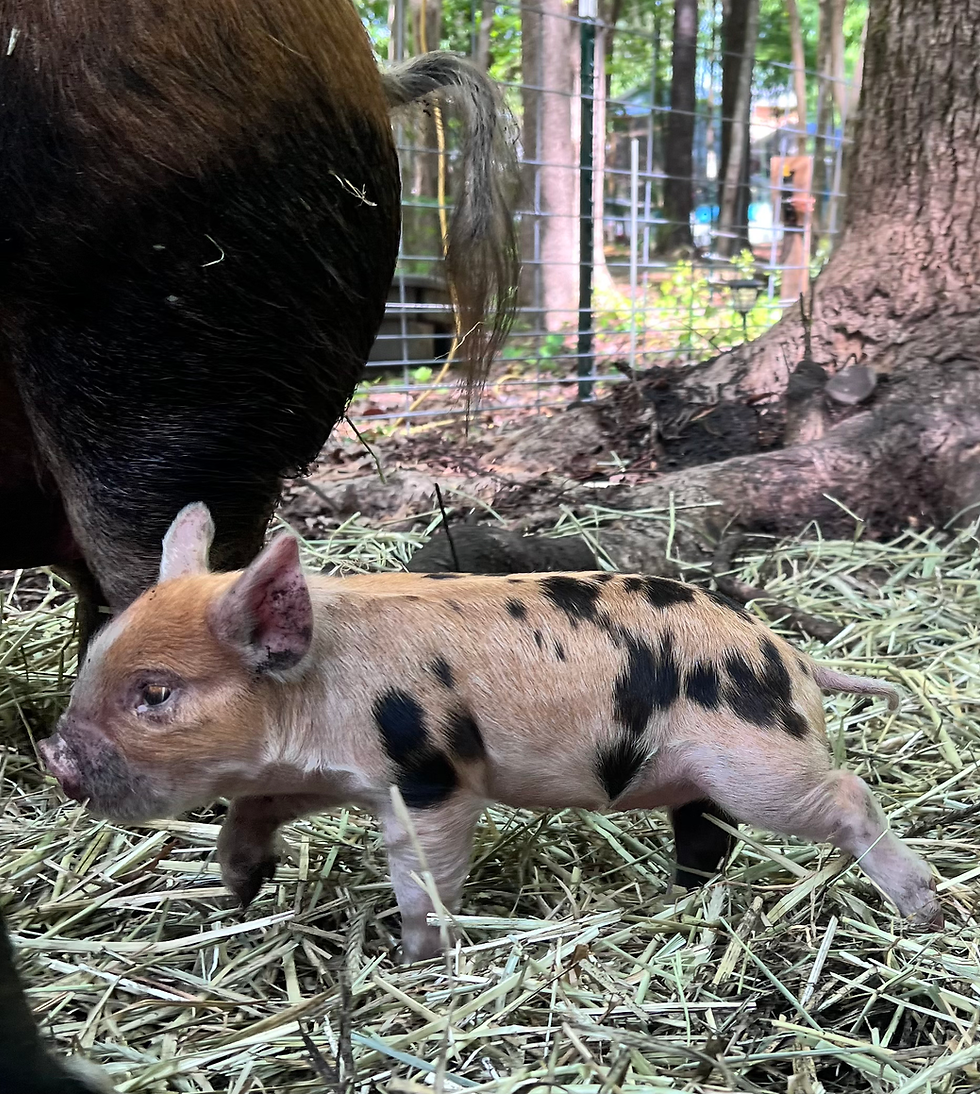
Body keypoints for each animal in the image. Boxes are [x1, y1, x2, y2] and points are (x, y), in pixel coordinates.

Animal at [40, 504, 942, 963]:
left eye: (156, 693)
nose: (55, 756)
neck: (321, 695)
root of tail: (788, 655)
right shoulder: (326, 773)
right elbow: (253, 806)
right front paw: (240, 887)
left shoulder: (430, 779)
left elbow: (423, 878)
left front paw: (413, 960)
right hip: (703, 780)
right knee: (706, 835)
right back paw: (676, 900)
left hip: (757, 764)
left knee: (846, 793)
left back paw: (925, 912)